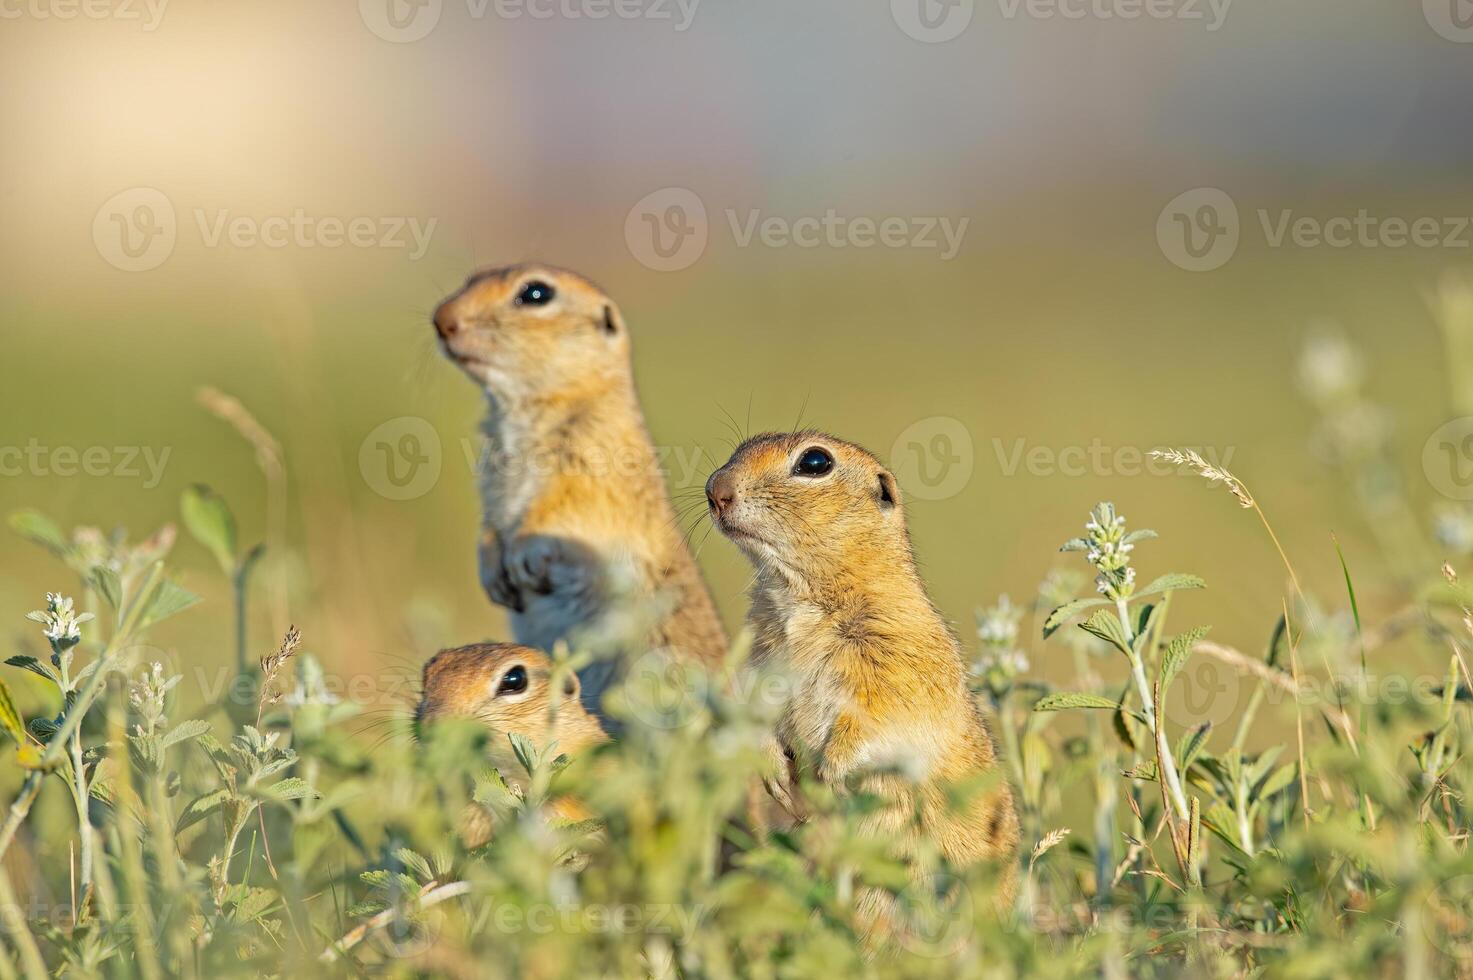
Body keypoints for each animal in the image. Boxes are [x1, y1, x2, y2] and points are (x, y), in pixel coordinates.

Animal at [433, 262, 733, 719]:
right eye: (470, 279)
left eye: (536, 293)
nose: (441, 319)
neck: (521, 411)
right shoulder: (489, 475)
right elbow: (489, 524)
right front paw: (492, 570)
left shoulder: (591, 461)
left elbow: (561, 506)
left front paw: (521, 557)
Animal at [707, 436, 1019, 901]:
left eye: (815, 461)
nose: (715, 489)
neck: (798, 591)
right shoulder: (760, 663)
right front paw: (777, 776)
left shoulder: (898, 658)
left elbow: (878, 716)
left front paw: (831, 773)